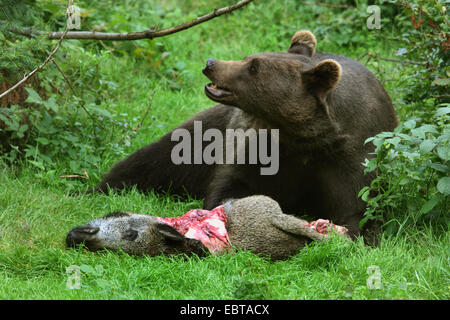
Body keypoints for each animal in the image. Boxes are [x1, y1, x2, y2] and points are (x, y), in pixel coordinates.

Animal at [89, 31, 400, 239]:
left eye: (253, 67)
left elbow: (356, 210)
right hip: (210, 130)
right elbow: (232, 185)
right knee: (154, 159)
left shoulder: (352, 158)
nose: (211, 62)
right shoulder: (264, 147)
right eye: (250, 58)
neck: (306, 137)